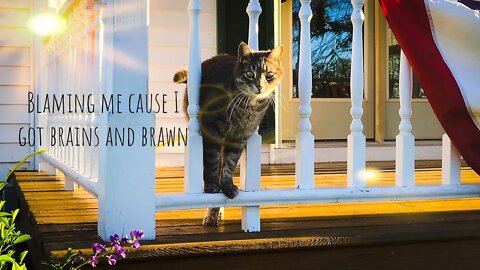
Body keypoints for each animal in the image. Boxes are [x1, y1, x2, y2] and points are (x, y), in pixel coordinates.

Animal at [173, 42, 284, 226]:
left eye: (269, 75)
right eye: (249, 74)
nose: (259, 86)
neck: (247, 107)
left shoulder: (238, 138)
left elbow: (229, 165)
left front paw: (227, 186)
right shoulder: (211, 130)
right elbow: (212, 164)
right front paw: (212, 187)